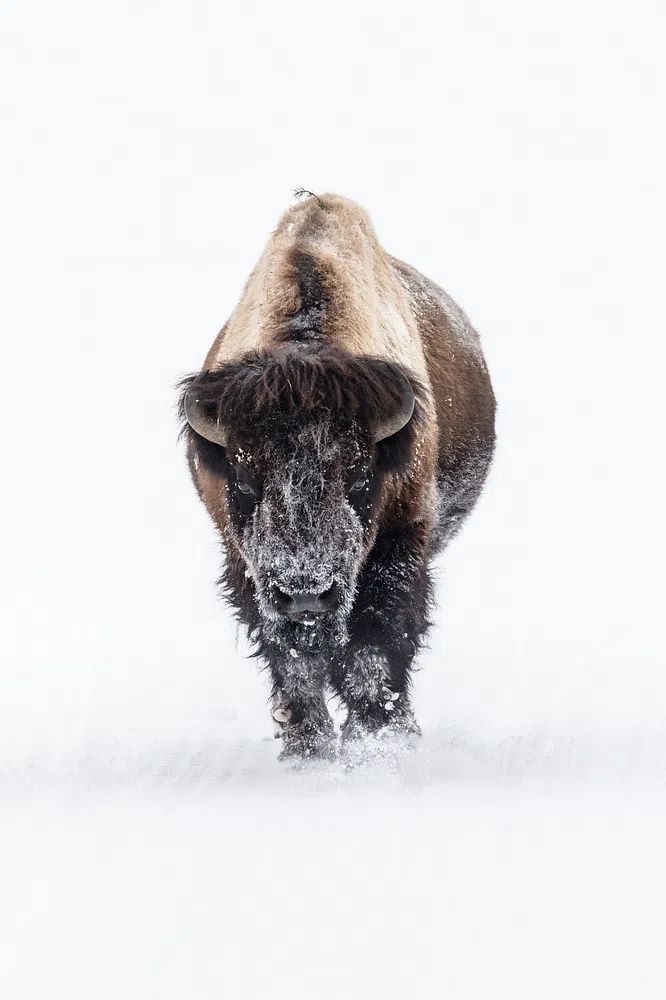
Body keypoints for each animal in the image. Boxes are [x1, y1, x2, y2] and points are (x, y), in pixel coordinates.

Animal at [179, 193, 495, 758]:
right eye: (244, 477)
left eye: (359, 475)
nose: (306, 593)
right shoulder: (246, 564)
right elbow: (292, 657)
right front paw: (307, 745)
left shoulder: (399, 542)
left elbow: (376, 642)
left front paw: (378, 739)